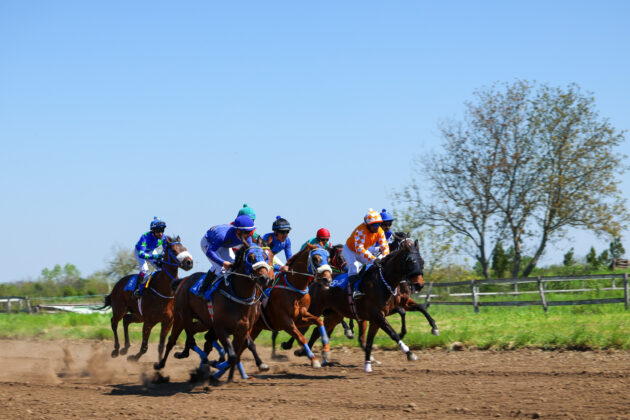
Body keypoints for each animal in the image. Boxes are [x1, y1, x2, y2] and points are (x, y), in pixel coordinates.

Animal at [154, 243, 272, 383]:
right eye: (251, 257)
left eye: (265, 257)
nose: (265, 278)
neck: (237, 295)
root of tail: (183, 281)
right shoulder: (220, 328)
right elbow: (232, 356)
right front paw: (215, 366)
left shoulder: (242, 329)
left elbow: (246, 347)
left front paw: (260, 364)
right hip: (183, 317)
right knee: (183, 340)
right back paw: (164, 363)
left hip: (202, 322)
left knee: (196, 339)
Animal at [304, 238, 425, 371]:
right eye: (411, 261)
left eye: (422, 261)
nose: (419, 285)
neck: (382, 282)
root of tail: (316, 281)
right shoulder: (377, 314)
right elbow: (392, 332)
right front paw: (409, 352)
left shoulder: (377, 317)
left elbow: (370, 340)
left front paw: (367, 364)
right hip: (314, 310)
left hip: (333, 316)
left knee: (318, 331)